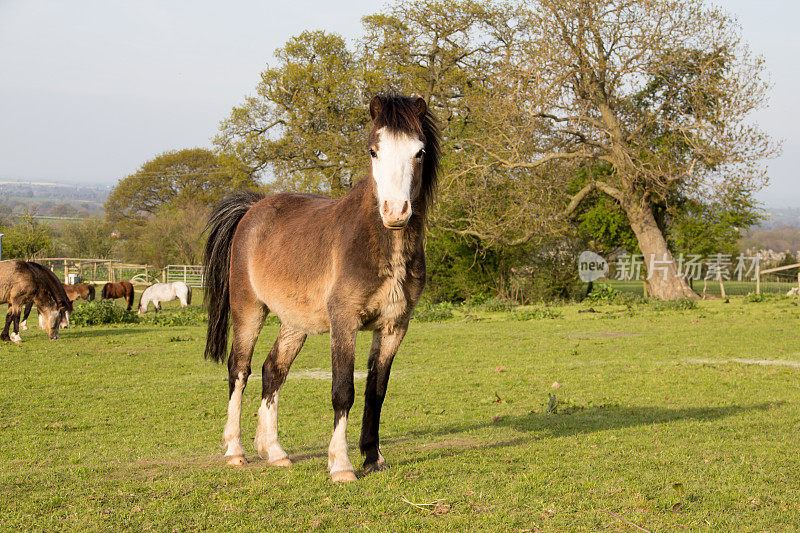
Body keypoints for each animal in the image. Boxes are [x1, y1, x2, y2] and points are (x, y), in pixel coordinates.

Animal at [200, 93, 438, 480]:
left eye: (419, 152)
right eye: (373, 151)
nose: (396, 211)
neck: (378, 243)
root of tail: (253, 209)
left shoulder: (394, 327)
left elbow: (376, 391)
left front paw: (373, 457)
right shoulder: (344, 322)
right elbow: (344, 390)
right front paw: (341, 465)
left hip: (294, 322)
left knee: (272, 371)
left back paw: (275, 451)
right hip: (248, 310)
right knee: (239, 370)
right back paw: (235, 450)